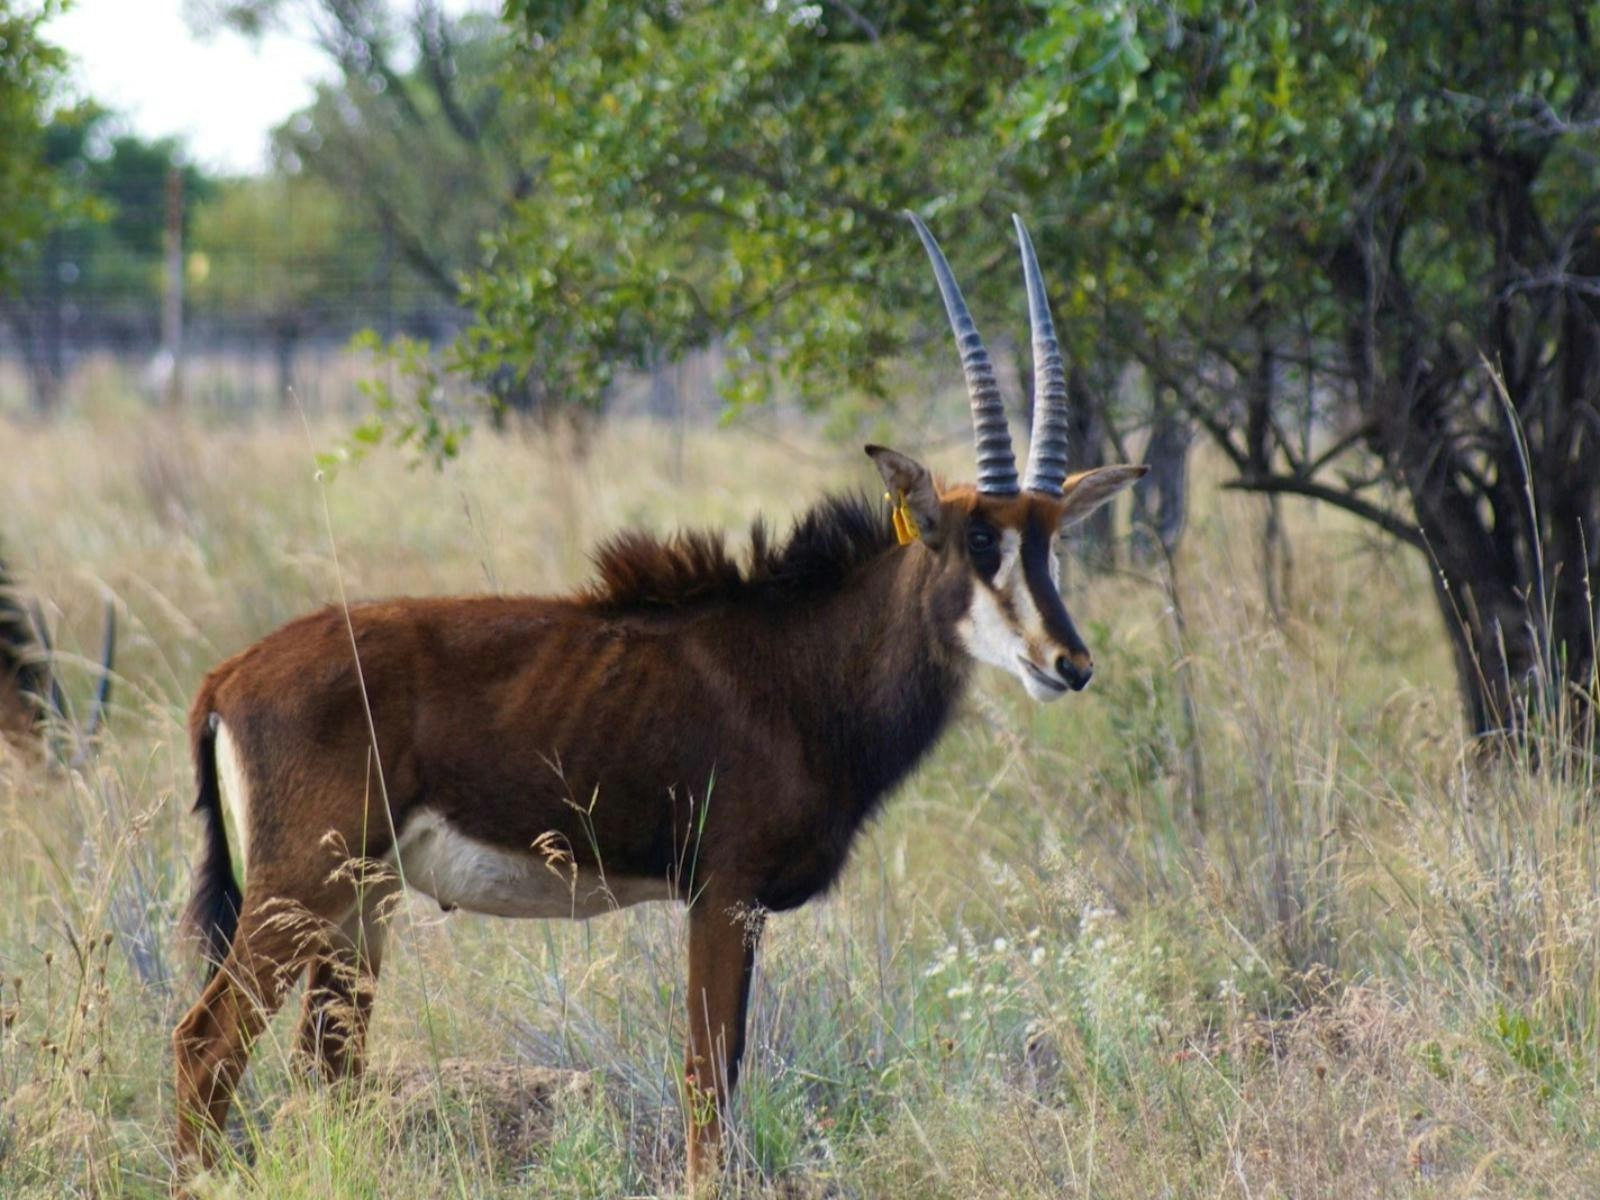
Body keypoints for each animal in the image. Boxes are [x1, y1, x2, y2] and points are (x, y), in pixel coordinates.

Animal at [172, 214, 1146, 1189]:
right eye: (978, 540)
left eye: (1051, 542)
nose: (1069, 663)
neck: (802, 660)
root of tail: (227, 677)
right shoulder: (723, 894)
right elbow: (707, 1076)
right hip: (298, 888)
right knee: (205, 1043)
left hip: (361, 901)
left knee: (326, 1060)